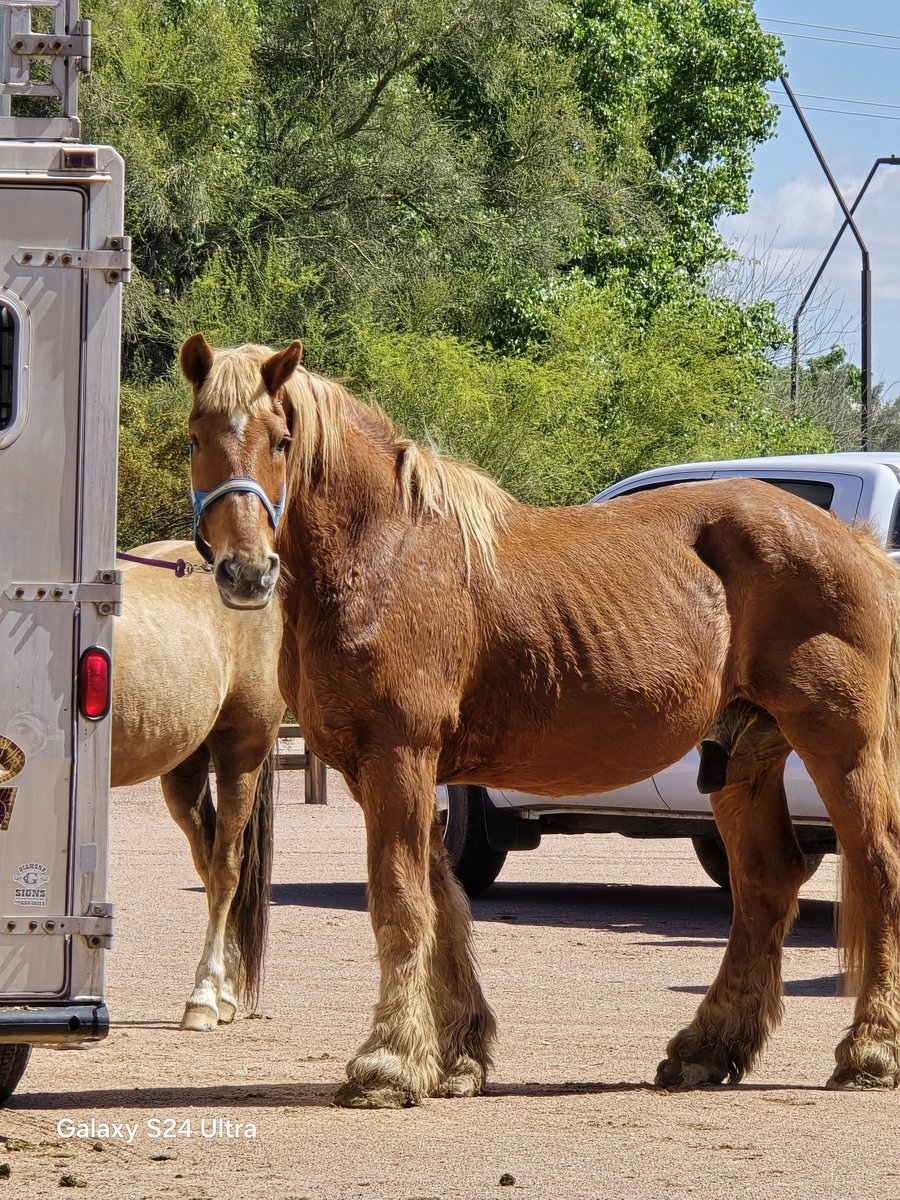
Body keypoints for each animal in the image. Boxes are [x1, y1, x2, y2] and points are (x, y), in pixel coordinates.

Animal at [111, 544, 283, 1032]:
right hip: (183, 773)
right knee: (208, 864)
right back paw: (224, 987)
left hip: (240, 756)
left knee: (226, 869)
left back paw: (206, 996)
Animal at [180, 336, 900, 1104]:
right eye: (195, 437)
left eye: (281, 441)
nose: (245, 571)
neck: (386, 554)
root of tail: (855, 544)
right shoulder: (394, 772)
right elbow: (446, 903)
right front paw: (457, 1055)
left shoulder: (398, 758)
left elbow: (401, 901)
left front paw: (388, 1061)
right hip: (742, 759)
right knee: (765, 884)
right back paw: (707, 1047)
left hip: (840, 746)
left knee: (876, 868)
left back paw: (870, 1050)